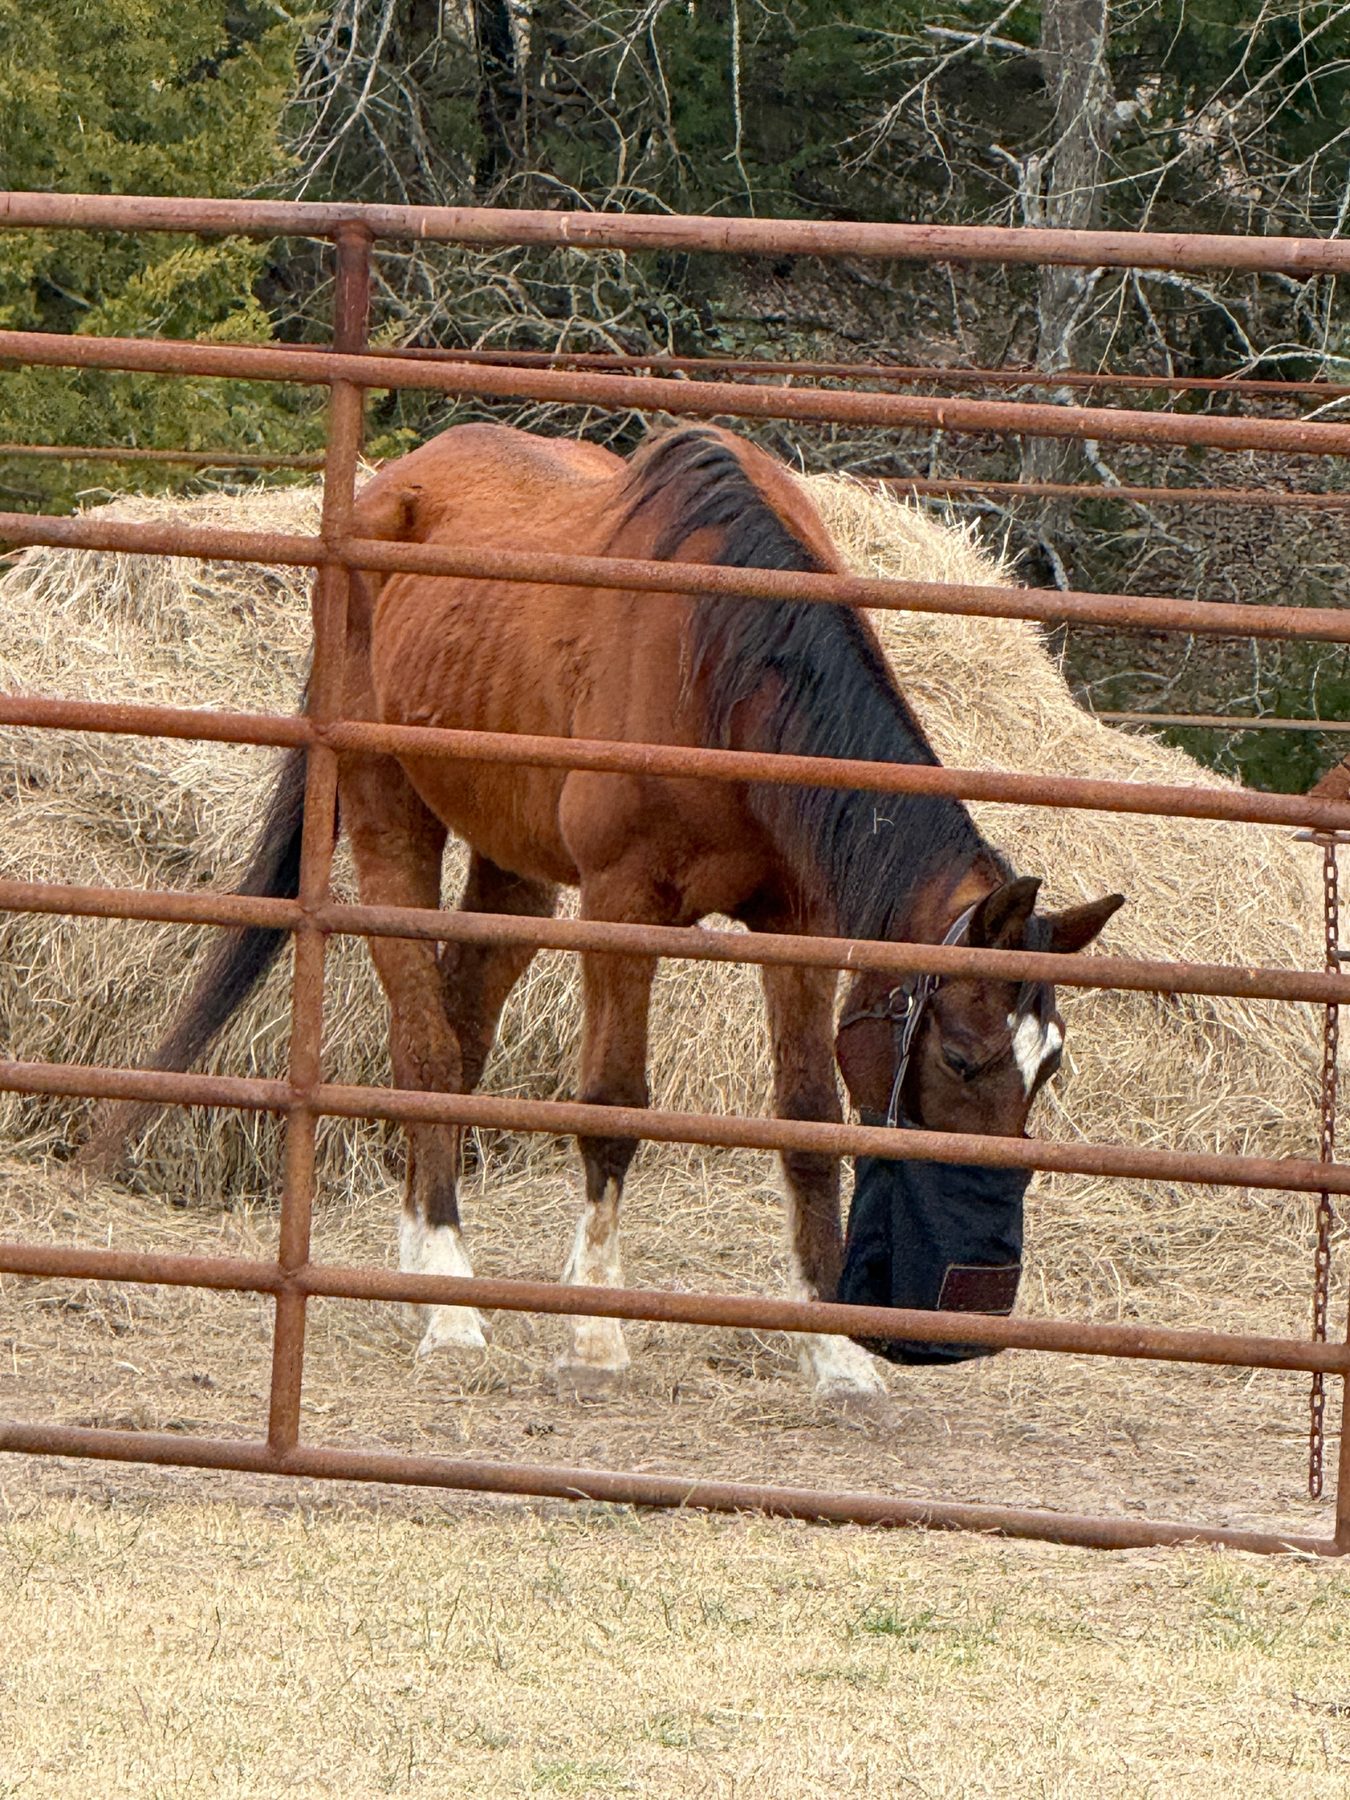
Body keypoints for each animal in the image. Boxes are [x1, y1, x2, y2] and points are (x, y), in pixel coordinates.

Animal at [84, 421, 1123, 1401]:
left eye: (1049, 1066)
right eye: (961, 1057)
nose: (976, 1300)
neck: (726, 664)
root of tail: (386, 489)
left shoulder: (796, 924)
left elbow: (808, 1123)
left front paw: (834, 1357)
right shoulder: (622, 903)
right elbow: (613, 1107)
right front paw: (594, 1335)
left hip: (513, 870)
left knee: (459, 1034)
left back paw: (423, 1252)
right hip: (389, 822)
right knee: (424, 1047)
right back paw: (449, 1300)